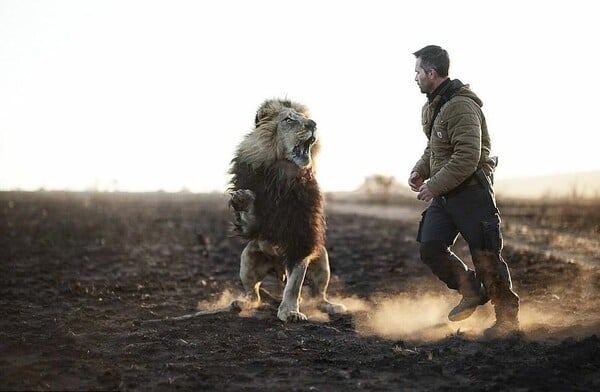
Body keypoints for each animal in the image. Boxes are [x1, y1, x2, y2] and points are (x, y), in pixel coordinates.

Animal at [226, 98, 346, 322]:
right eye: (289, 120)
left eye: (306, 118)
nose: (313, 124)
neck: (281, 178)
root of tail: (278, 270)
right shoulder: (256, 226)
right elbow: (250, 221)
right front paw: (243, 199)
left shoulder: (302, 236)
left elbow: (294, 286)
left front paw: (290, 311)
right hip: (247, 258)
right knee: (253, 294)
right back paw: (240, 303)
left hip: (322, 259)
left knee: (318, 295)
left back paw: (332, 306)